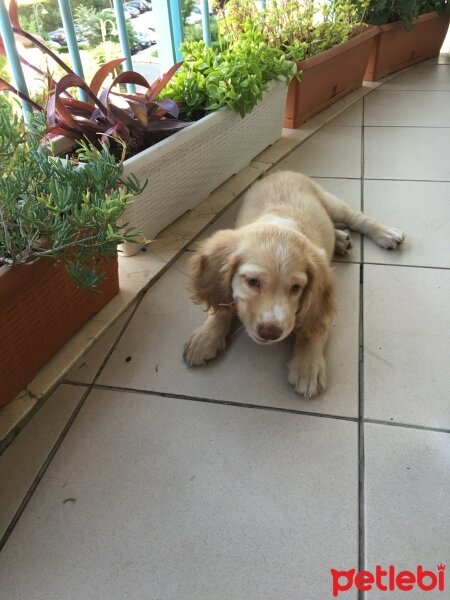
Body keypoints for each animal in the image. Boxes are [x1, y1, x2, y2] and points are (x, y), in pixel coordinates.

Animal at [183, 171, 404, 396]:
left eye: (296, 288)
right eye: (252, 282)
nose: (270, 333)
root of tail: (282, 172)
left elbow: (313, 327)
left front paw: (307, 365)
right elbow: (221, 304)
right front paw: (205, 336)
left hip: (331, 203)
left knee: (355, 217)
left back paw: (385, 233)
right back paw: (341, 239)